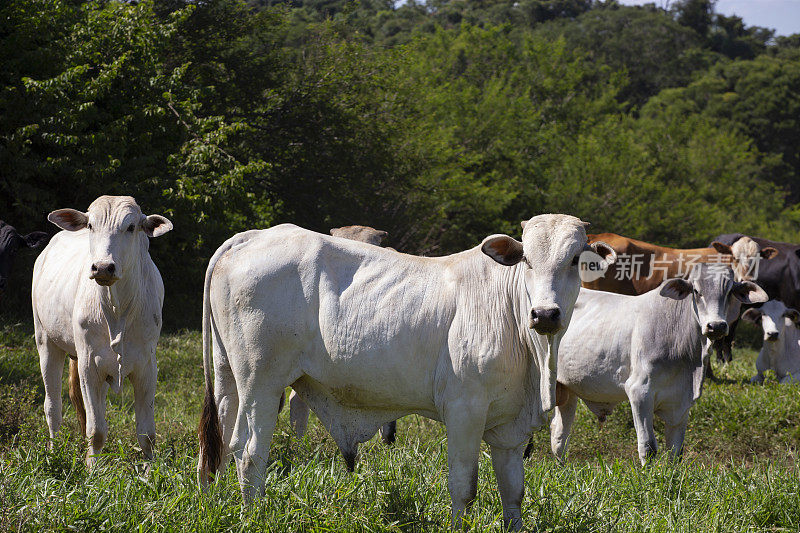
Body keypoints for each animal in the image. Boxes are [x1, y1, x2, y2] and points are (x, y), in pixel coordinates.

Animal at [32, 195, 172, 466]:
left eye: (131, 227)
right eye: (90, 225)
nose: (103, 267)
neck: (117, 310)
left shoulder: (147, 367)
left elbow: (147, 434)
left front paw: (150, 471)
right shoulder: (89, 365)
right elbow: (96, 431)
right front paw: (92, 469)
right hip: (45, 340)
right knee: (53, 407)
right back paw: (53, 453)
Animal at [197, 215, 616, 528]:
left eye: (576, 259)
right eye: (527, 258)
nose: (545, 314)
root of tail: (250, 236)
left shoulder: (509, 430)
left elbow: (513, 494)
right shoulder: (464, 411)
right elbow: (464, 486)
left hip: (227, 375)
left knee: (220, 445)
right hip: (261, 383)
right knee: (250, 453)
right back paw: (253, 516)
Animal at [552, 264, 768, 464]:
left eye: (730, 292)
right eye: (696, 291)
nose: (716, 326)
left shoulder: (681, 403)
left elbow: (676, 452)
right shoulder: (639, 392)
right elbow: (648, 447)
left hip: (568, 391)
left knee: (559, 436)